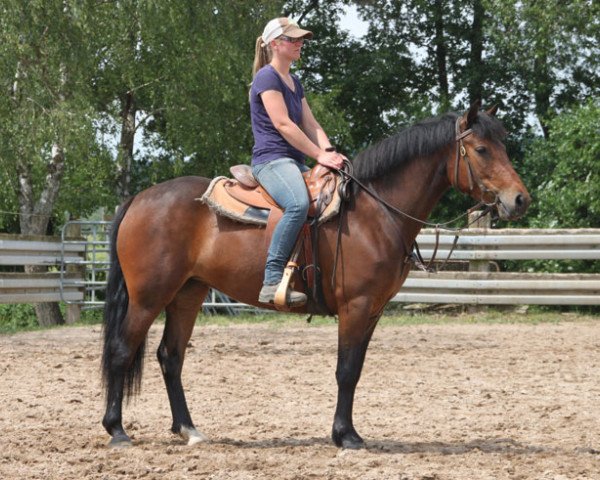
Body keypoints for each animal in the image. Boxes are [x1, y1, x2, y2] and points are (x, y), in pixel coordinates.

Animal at [102, 102, 528, 450]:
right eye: (482, 149)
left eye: (503, 146)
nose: (520, 199)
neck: (372, 212)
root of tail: (138, 199)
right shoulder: (356, 307)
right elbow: (345, 371)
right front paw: (345, 437)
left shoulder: (373, 311)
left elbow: (355, 370)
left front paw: (349, 432)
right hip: (149, 297)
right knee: (122, 350)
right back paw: (117, 431)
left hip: (187, 294)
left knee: (170, 356)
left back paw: (188, 429)